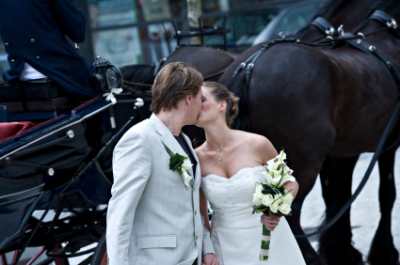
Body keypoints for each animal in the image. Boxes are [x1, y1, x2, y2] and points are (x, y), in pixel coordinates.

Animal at [219, 0, 400, 264]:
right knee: (289, 212)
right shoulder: (387, 144)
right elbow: (386, 194)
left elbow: (337, 197)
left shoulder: (342, 154)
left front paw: (342, 250)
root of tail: (249, 67)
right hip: (299, 165)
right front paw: (383, 252)